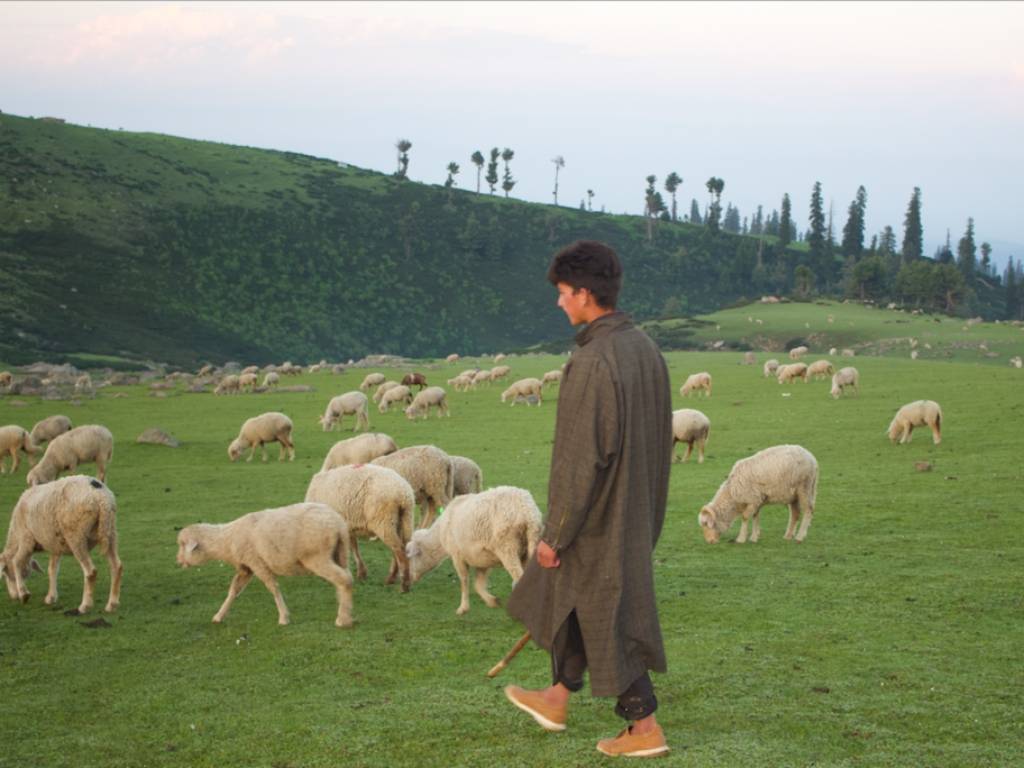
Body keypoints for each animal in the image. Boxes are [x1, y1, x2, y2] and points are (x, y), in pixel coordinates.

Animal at [0, 479, 122, 618]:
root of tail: (101, 497)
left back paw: (84, 606)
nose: (13, 596)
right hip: (110, 531)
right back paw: (112, 604)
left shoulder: (26, 539)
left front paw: (24, 594)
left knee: (91, 571)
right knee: (116, 566)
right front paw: (51, 597)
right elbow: (52, 570)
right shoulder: (55, 546)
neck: (15, 535)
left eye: (4, 573)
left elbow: (16, 562)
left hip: (76, 535)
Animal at [174, 505, 354, 626]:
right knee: (346, 579)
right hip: (341, 553)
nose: (178, 561)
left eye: (182, 544)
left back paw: (342, 619)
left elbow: (273, 587)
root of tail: (338, 524)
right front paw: (219, 615)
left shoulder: (256, 562)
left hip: (316, 557)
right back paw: (347, 610)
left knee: (344, 580)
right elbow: (233, 591)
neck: (227, 540)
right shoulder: (246, 567)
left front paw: (283, 617)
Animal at [303, 462, 415, 593]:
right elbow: (354, 547)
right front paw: (361, 573)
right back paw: (391, 578)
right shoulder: (347, 526)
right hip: (404, 520)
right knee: (400, 548)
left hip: (384, 521)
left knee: (399, 550)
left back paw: (404, 586)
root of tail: (403, 493)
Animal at [403, 487, 544, 618]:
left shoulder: (457, 556)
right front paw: (492, 601)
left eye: (412, 557)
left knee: (519, 576)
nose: (410, 579)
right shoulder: (482, 558)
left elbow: (464, 581)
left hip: (507, 548)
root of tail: (527, 512)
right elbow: (478, 585)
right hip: (531, 545)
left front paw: (463, 608)